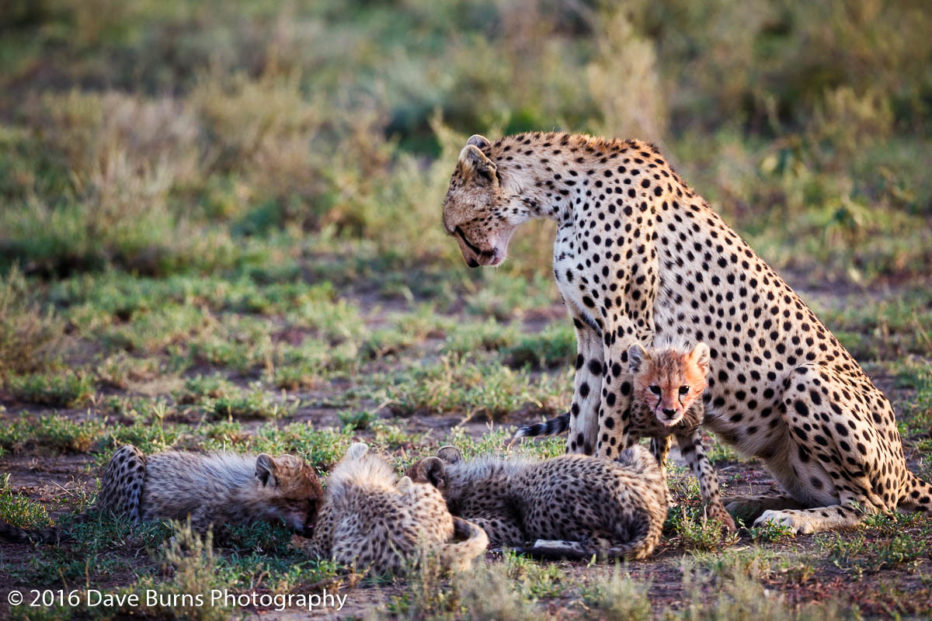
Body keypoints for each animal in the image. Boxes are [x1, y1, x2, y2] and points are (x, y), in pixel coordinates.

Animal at [410, 444, 668, 560]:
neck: (459, 481)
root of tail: (652, 509)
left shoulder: (509, 525)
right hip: (635, 452)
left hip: (546, 500)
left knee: (598, 545)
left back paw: (538, 546)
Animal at [512, 340, 732, 528]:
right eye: (655, 389)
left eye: (684, 389)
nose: (669, 411)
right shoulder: (626, 434)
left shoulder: (687, 433)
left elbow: (706, 470)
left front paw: (719, 515)